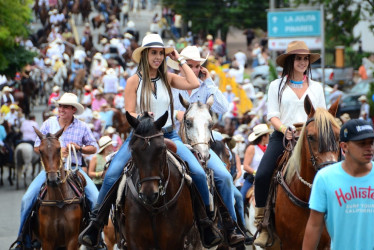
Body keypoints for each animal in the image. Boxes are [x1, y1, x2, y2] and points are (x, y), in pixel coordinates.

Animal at [115, 112, 196, 250]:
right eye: (133, 151)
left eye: (162, 149)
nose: (149, 194)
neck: (155, 207)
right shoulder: (134, 241)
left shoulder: (176, 241)